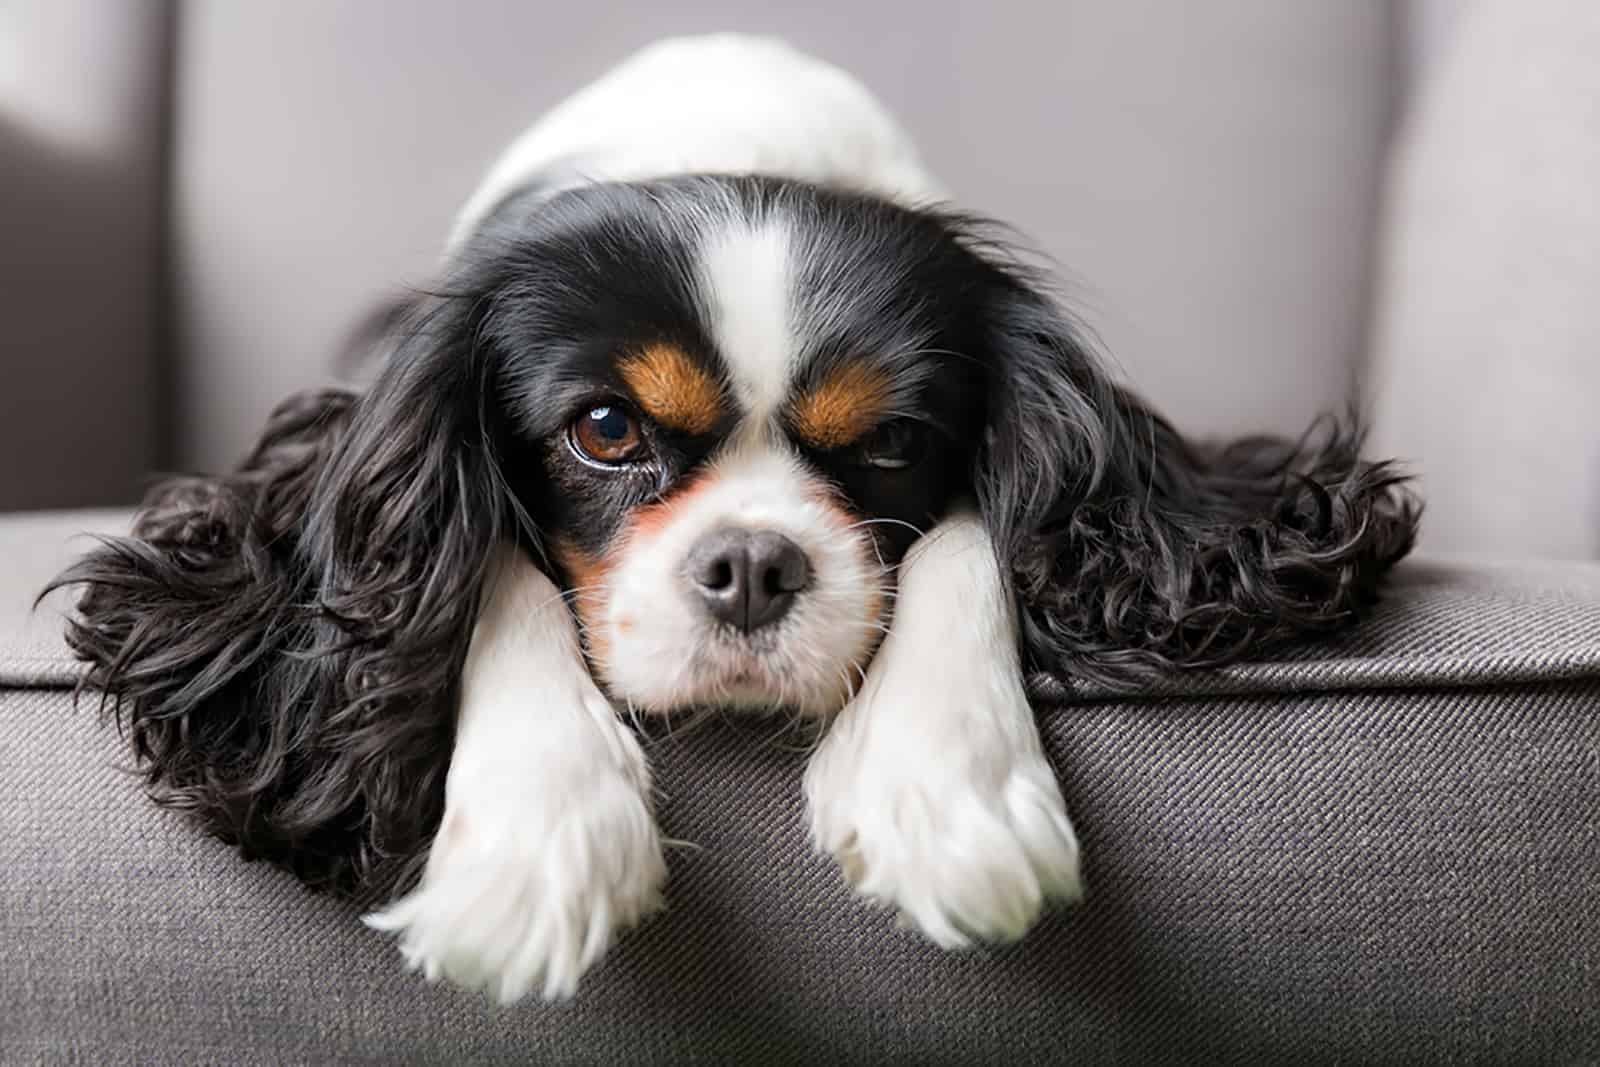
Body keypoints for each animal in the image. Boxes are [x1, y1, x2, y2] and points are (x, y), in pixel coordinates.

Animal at [53, 33, 1414, 1004]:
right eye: (606, 430)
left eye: (892, 443)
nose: (754, 565)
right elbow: (489, 560)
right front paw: (537, 835)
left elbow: (970, 537)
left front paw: (947, 786)